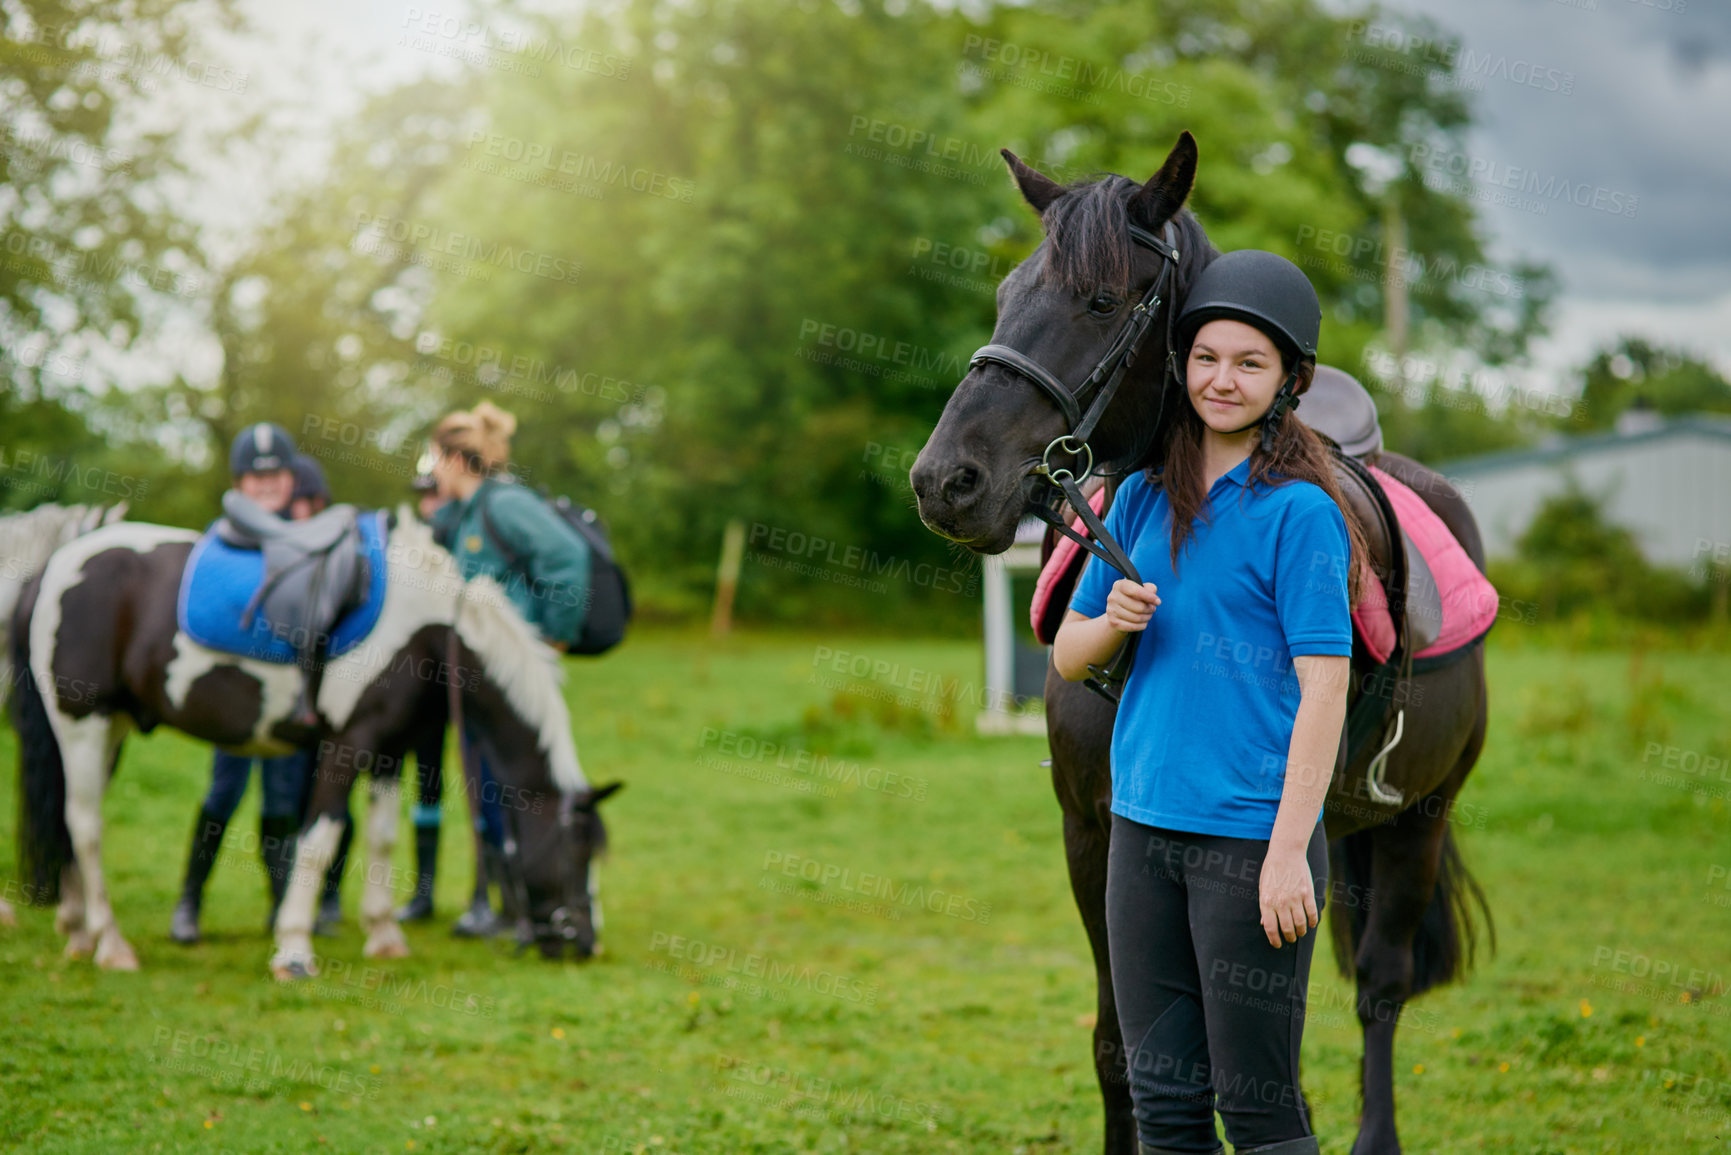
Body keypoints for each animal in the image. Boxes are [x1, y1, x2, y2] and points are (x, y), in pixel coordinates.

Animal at [8, 512, 623, 976]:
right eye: (577, 853)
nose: (585, 943)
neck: (429, 631)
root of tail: (54, 565)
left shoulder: (390, 750)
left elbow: (380, 840)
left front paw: (383, 936)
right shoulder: (345, 746)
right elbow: (319, 840)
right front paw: (295, 949)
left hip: (107, 730)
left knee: (67, 819)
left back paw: (77, 931)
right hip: (83, 722)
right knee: (86, 825)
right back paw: (110, 944)